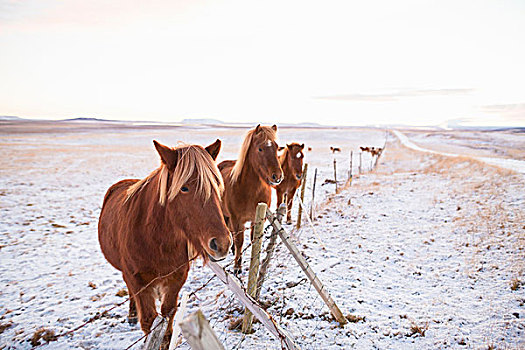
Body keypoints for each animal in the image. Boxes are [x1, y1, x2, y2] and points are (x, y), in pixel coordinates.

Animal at [98, 139, 229, 348]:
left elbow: (167, 323)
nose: (222, 243)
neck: (155, 241)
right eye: (184, 188)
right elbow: (149, 322)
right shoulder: (139, 282)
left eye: (216, 184)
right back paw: (132, 314)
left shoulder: (176, 279)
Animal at [217, 124, 282, 274]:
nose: (277, 176)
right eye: (260, 148)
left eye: (277, 147)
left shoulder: (257, 219)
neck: (250, 191)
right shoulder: (237, 220)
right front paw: (237, 267)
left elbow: (254, 240)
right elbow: (239, 241)